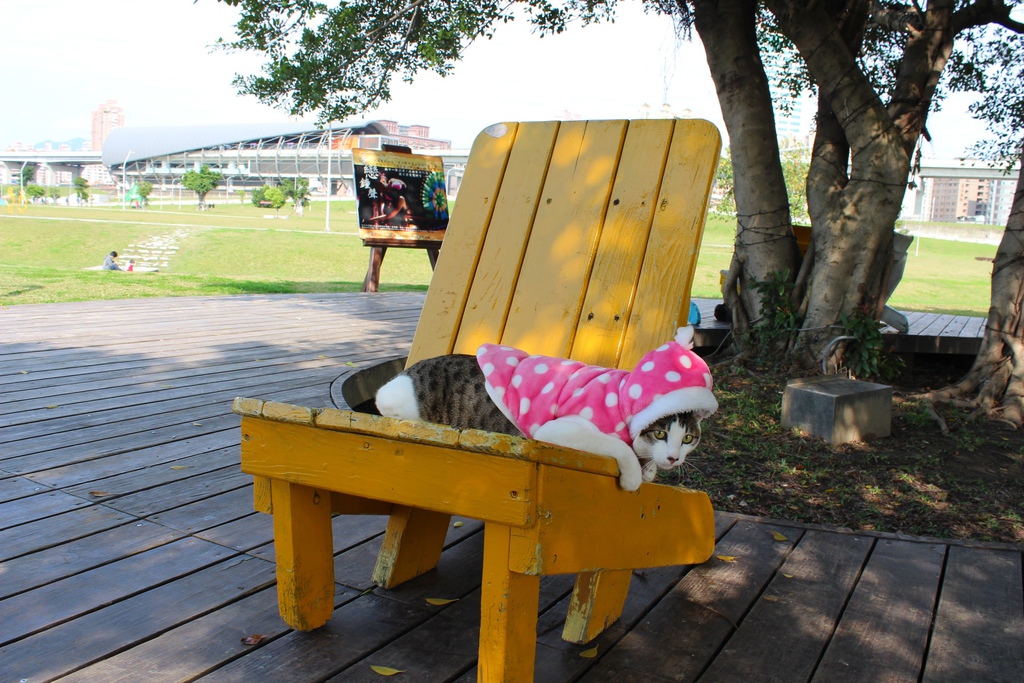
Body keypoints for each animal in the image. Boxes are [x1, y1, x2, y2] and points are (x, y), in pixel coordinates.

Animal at [372, 325, 716, 491]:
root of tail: (409, 370)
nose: (674, 458)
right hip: (398, 400)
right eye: (659, 433)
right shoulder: (558, 428)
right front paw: (634, 476)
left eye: (688, 438)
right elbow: (619, 447)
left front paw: (651, 469)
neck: (622, 396)